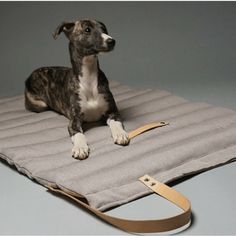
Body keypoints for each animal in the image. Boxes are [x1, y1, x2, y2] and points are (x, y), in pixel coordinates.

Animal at [24, 19, 129, 160]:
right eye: (87, 30)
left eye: (104, 29)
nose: (111, 41)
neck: (89, 78)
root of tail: (31, 74)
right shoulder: (74, 121)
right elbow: (78, 134)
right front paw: (80, 147)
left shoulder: (112, 112)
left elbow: (116, 123)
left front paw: (120, 134)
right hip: (40, 104)